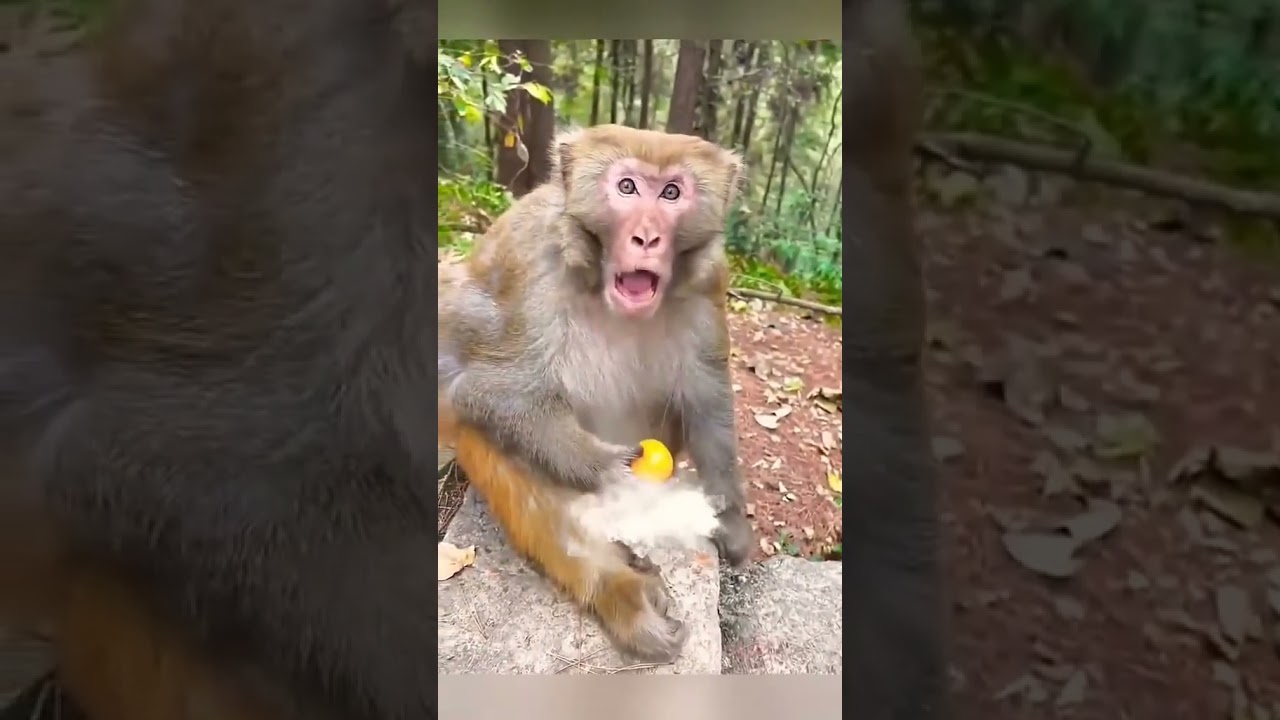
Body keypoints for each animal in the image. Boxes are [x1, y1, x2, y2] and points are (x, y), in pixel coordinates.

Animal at [437, 124, 754, 664]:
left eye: (671, 193)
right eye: (627, 187)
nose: (646, 237)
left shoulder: (710, 278)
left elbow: (706, 395)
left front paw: (729, 517)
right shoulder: (532, 263)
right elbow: (480, 388)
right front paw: (603, 466)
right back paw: (622, 593)